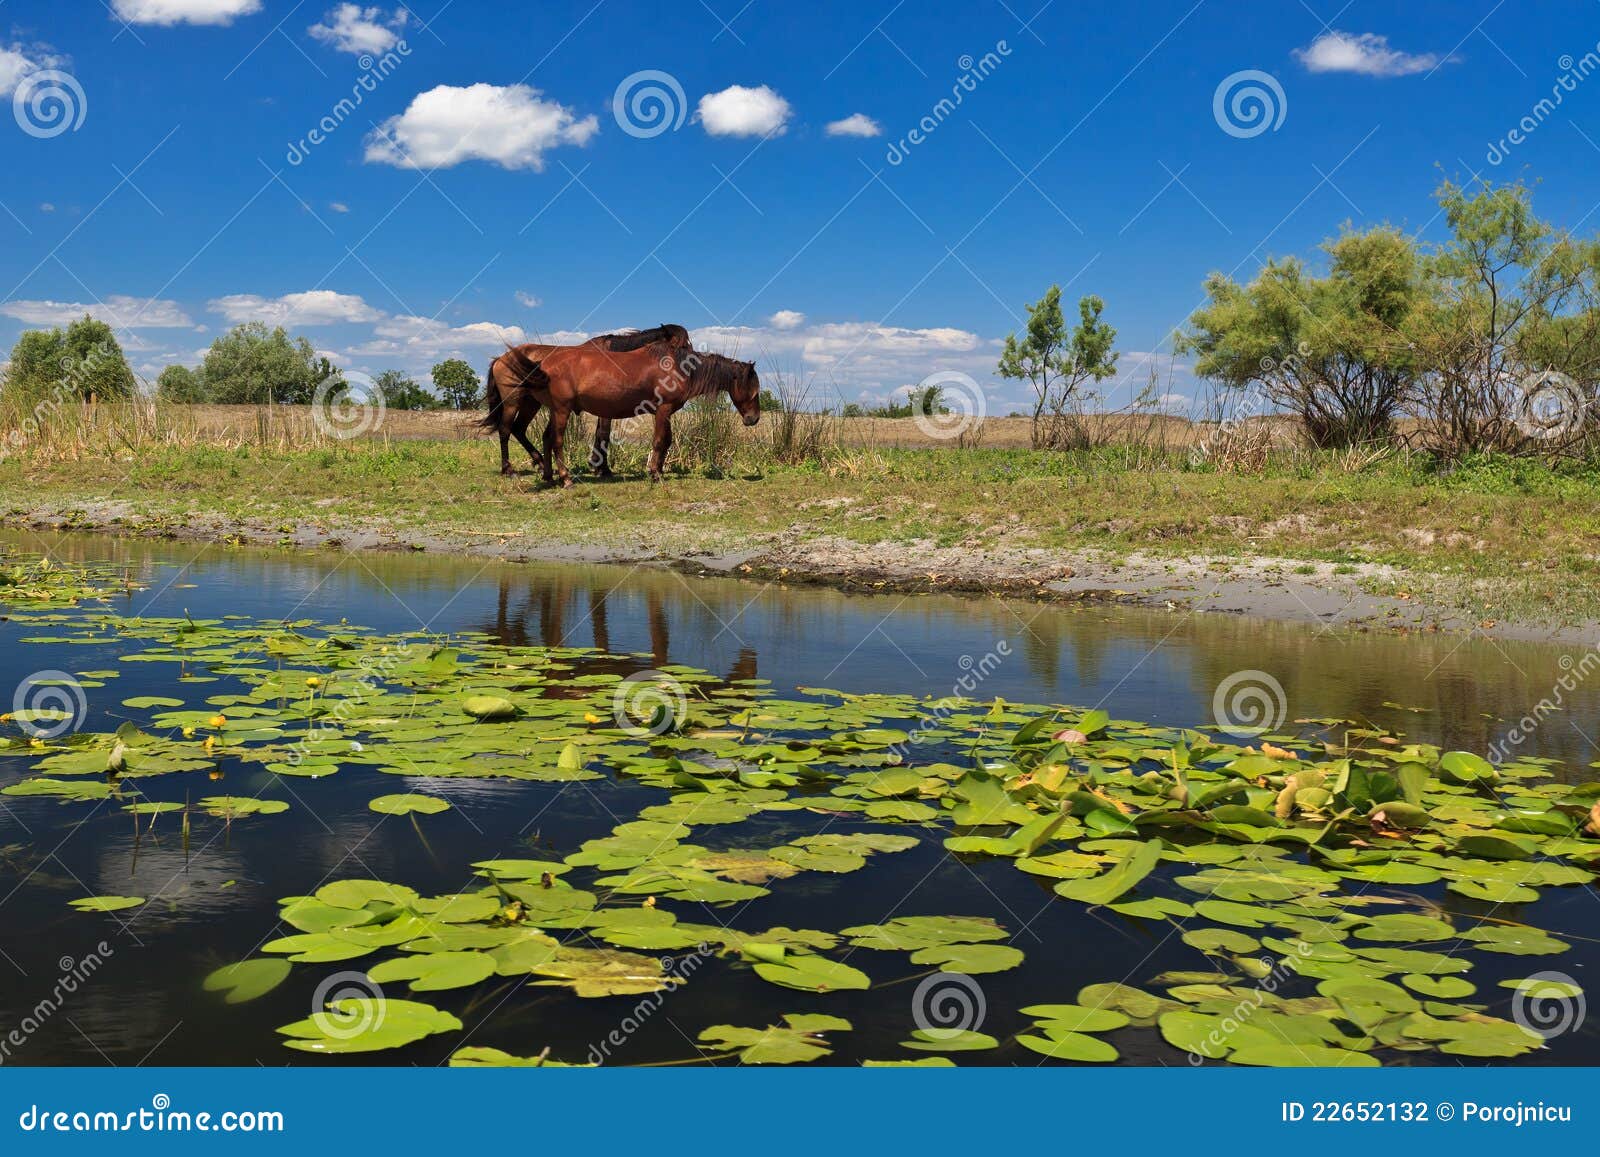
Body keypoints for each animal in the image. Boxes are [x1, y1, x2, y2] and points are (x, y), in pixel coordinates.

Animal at [479, 324, 691, 477]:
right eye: (681, 347)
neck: (619, 358)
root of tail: (501, 358)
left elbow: (599, 435)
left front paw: (597, 466)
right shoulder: (606, 409)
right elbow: (604, 434)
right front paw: (603, 469)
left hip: (531, 404)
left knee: (519, 429)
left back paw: (540, 463)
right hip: (512, 402)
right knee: (505, 430)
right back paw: (509, 470)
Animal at [501, 344, 760, 486]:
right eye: (754, 390)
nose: (753, 419)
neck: (678, 367)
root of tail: (542, 364)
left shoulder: (665, 412)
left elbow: (667, 441)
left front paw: (659, 470)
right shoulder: (663, 410)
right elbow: (660, 441)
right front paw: (655, 474)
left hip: (555, 410)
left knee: (546, 438)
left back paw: (548, 475)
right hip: (562, 410)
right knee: (556, 441)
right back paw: (565, 479)